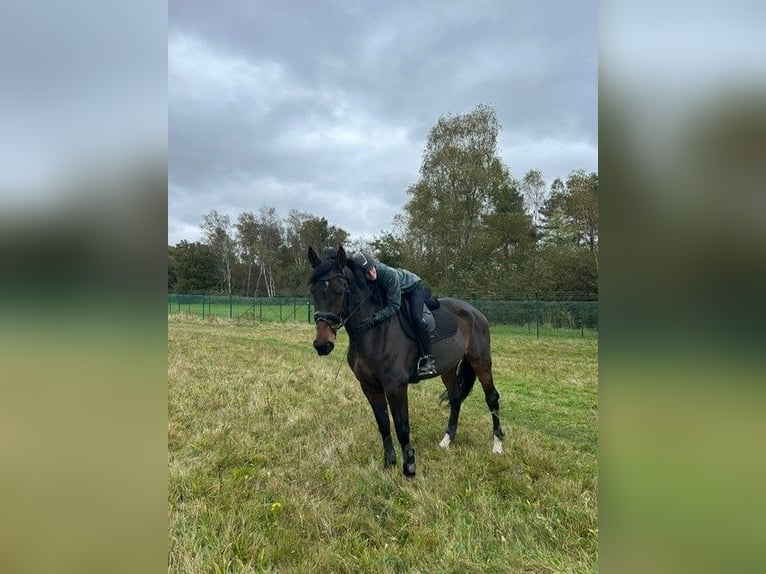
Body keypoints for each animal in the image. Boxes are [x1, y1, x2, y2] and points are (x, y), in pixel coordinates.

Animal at [308, 245, 508, 480]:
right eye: (313, 292)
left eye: (340, 291)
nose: (323, 345)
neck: (374, 331)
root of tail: (476, 313)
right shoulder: (369, 385)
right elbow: (384, 424)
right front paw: (388, 464)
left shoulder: (396, 386)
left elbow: (402, 427)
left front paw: (409, 468)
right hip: (448, 368)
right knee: (456, 397)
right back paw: (447, 440)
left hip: (481, 362)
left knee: (492, 398)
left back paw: (497, 445)